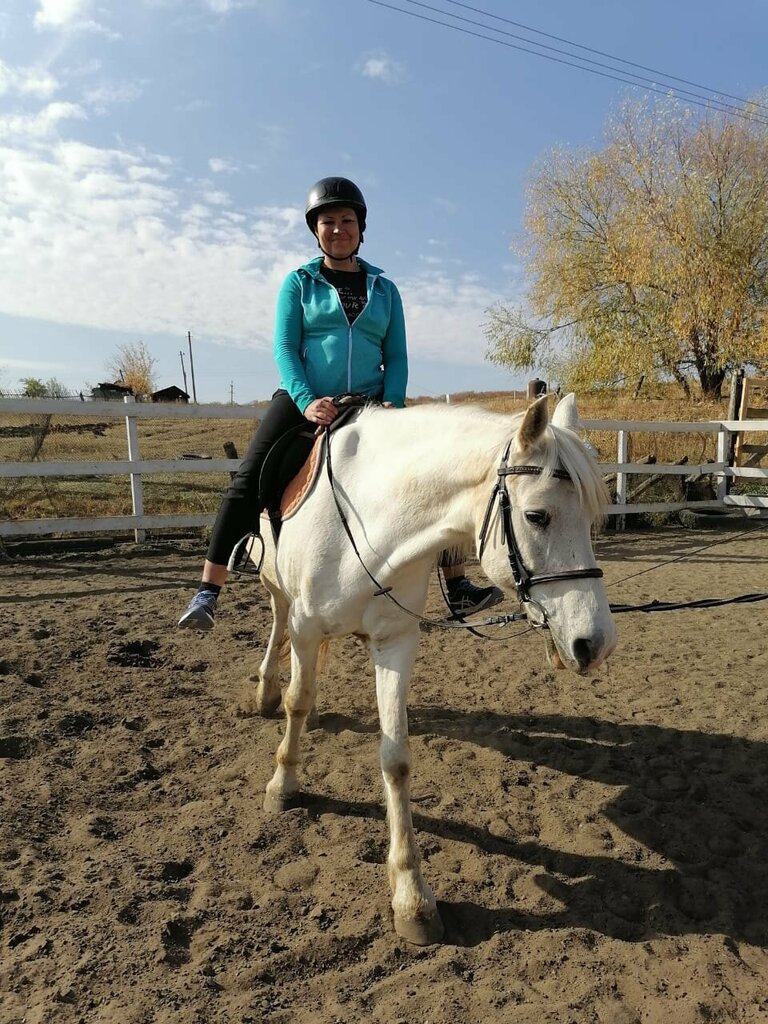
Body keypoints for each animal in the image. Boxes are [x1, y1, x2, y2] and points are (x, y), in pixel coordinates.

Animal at [249, 391, 618, 942]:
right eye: (537, 516)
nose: (596, 643)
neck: (365, 524)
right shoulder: (305, 625)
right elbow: (297, 700)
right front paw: (283, 786)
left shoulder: (395, 642)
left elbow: (396, 759)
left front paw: (411, 898)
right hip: (277, 590)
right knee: (277, 631)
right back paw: (266, 690)